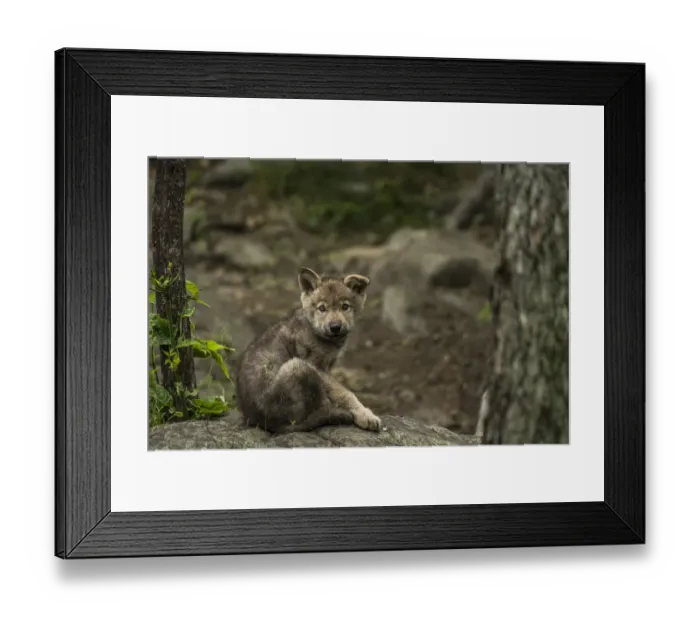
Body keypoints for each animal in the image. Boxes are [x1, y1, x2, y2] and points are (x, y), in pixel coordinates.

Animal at [235, 267, 383, 434]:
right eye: (322, 308)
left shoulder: (327, 367)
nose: (335, 327)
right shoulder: (316, 367)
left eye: (345, 307)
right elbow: (344, 393)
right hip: (298, 367)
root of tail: (262, 421)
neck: (316, 331)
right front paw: (366, 416)